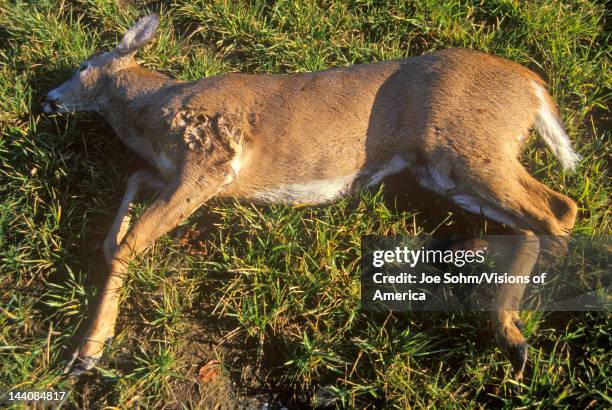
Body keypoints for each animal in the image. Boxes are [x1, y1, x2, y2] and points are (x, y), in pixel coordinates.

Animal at [43, 13, 580, 378]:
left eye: (85, 64)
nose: (48, 99)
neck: (153, 110)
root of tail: (534, 87)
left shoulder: (211, 159)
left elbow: (133, 241)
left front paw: (88, 350)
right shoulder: (172, 172)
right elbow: (131, 190)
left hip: (468, 143)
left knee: (557, 212)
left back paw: (519, 321)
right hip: (442, 168)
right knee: (539, 219)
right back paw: (498, 313)